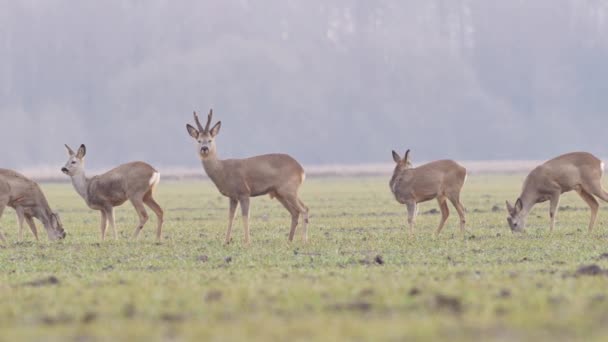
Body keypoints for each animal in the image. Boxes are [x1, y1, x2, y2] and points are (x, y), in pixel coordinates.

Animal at [185, 108, 308, 244]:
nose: (204, 148)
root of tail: (301, 170)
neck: (223, 171)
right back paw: (289, 240)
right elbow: (231, 217)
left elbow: (245, 217)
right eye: (199, 140)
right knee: (295, 212)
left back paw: (303, 240)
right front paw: (226, 241)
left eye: (210, 139)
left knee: (304, 209)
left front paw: (247, 242)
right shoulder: (232, 196)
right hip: (279, 193)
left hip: (289, 189)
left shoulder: (244, 192)